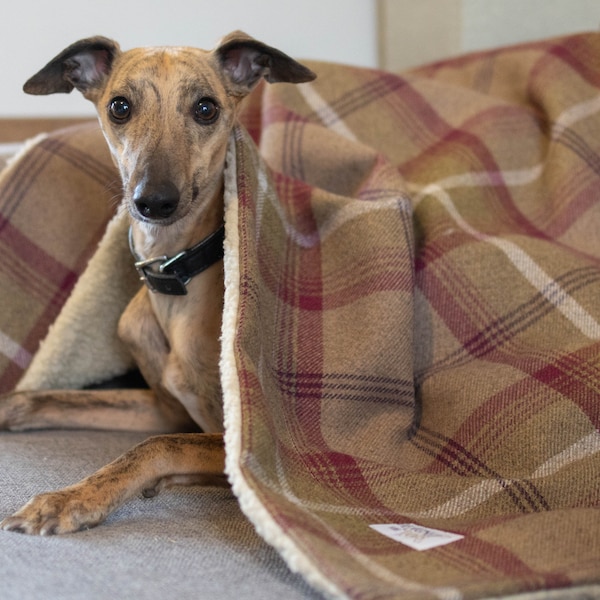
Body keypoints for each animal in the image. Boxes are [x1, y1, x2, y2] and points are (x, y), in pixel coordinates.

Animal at [0, 31, 316, 536]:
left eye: (206, 108)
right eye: (119, 106)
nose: (153, 202)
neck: (174, 282)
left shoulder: (238, 444)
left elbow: (158, 445)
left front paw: (69, 499)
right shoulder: (163, 406)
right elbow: (39, 399)